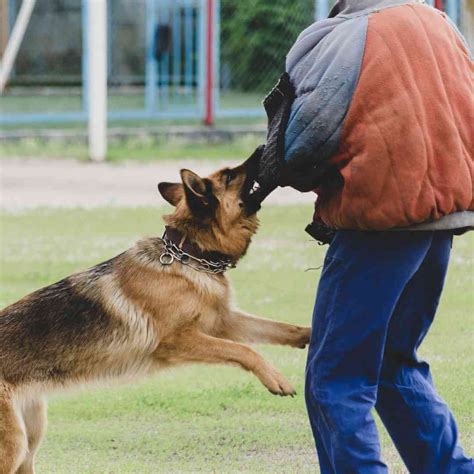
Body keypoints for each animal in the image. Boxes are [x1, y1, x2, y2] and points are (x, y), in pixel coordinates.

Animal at [0, 157, 312, 472]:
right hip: (13, 446)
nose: (263, 150)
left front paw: (309, 335)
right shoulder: (178, 341)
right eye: (229, 175)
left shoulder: (222, 322)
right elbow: (245, 351)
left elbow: (277, 329)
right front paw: (276, 378)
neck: (187, 254)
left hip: (30, 439)